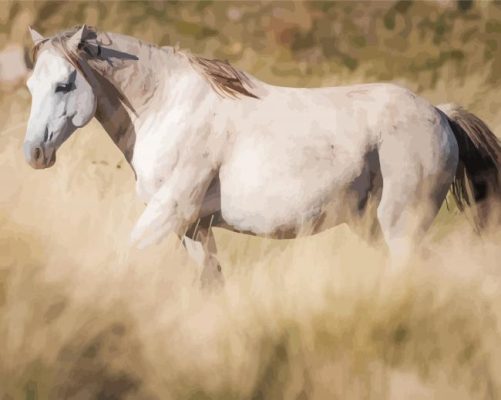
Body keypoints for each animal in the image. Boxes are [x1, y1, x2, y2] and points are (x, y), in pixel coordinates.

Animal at [23, 25, 500, 282]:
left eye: (64, 84)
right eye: (31, 85)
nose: (34, 153)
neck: (168, 107)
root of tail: (440, 114)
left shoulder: (169, 214)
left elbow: (125, 256)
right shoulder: (194, 228)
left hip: (402, 226)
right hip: (373, 226)